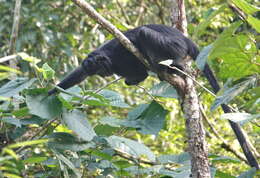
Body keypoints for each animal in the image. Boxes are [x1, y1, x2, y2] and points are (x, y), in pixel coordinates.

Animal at [48, 24, 258, 168]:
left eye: (99, 68)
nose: (104, 73)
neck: (111, 57)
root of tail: (186, 40)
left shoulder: (117, 49)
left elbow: (135, 42)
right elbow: (81, 74)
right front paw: (50, 93)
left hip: (174, 46)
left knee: (144, 33)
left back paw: (174, 66)